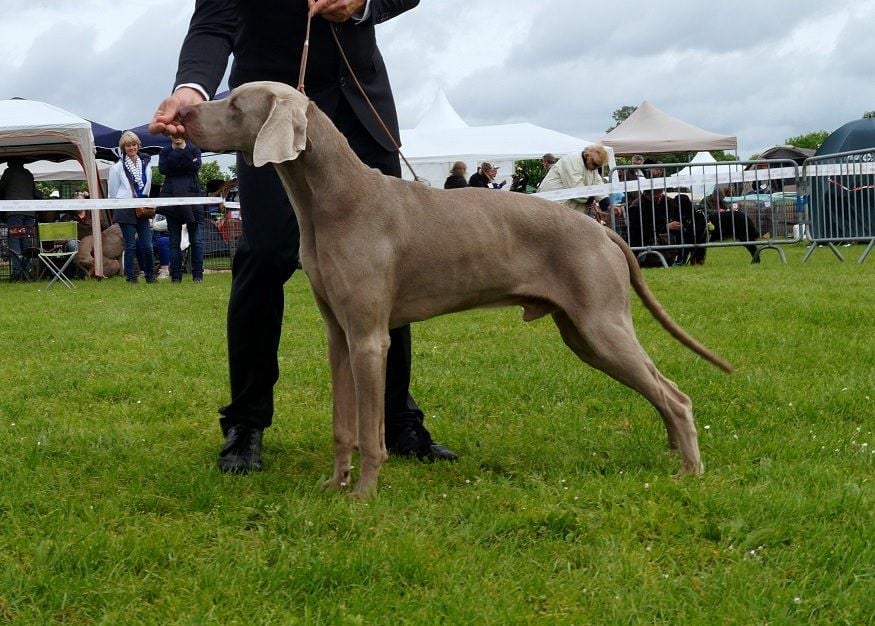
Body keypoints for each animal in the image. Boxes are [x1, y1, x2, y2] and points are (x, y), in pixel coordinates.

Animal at [181, 80, 736, 494]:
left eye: (235, 104)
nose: (182, 116)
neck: (335, 201)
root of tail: (602, 230)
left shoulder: (370, 339)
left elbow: (369, 431)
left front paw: (363, 496)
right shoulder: (339, 336)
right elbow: (343, 425)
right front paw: (334, 486)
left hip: (601, 325)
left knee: (675, 396)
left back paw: (690, 471)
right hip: (583, 334)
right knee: (659, 390)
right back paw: (674, 451)